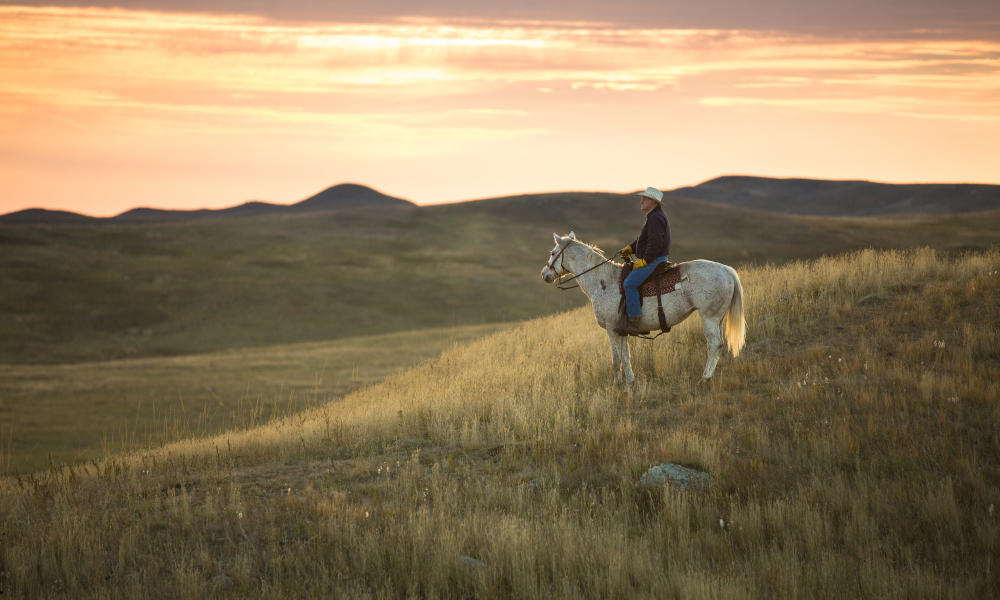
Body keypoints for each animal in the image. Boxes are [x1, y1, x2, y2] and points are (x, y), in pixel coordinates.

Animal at [540, 232, 744, 386]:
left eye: (552, 252)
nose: (544, 274)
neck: (603, 282)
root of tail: (727, 270)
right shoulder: (619, 330)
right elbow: (623, 357)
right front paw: (624, 383)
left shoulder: (612, 329)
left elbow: (619, 359)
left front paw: (622, 386)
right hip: (718, 318)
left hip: (709, 317)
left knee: (714, 344)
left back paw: (704, 378)